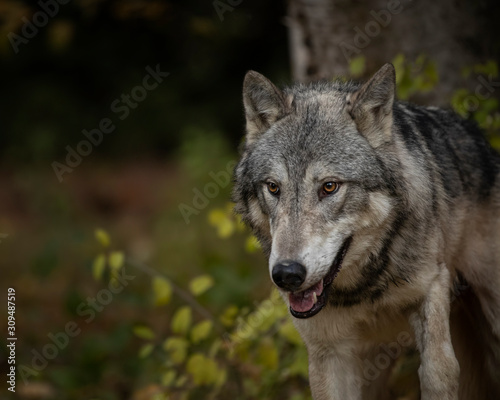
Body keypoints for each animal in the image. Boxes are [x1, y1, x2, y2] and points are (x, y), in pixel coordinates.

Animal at [232, 64, 500, 398]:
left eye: (329, 187)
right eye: (273, 187)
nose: (287, 274)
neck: (366, 290)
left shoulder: (432, 289)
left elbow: (438, 374)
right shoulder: (328, 353)